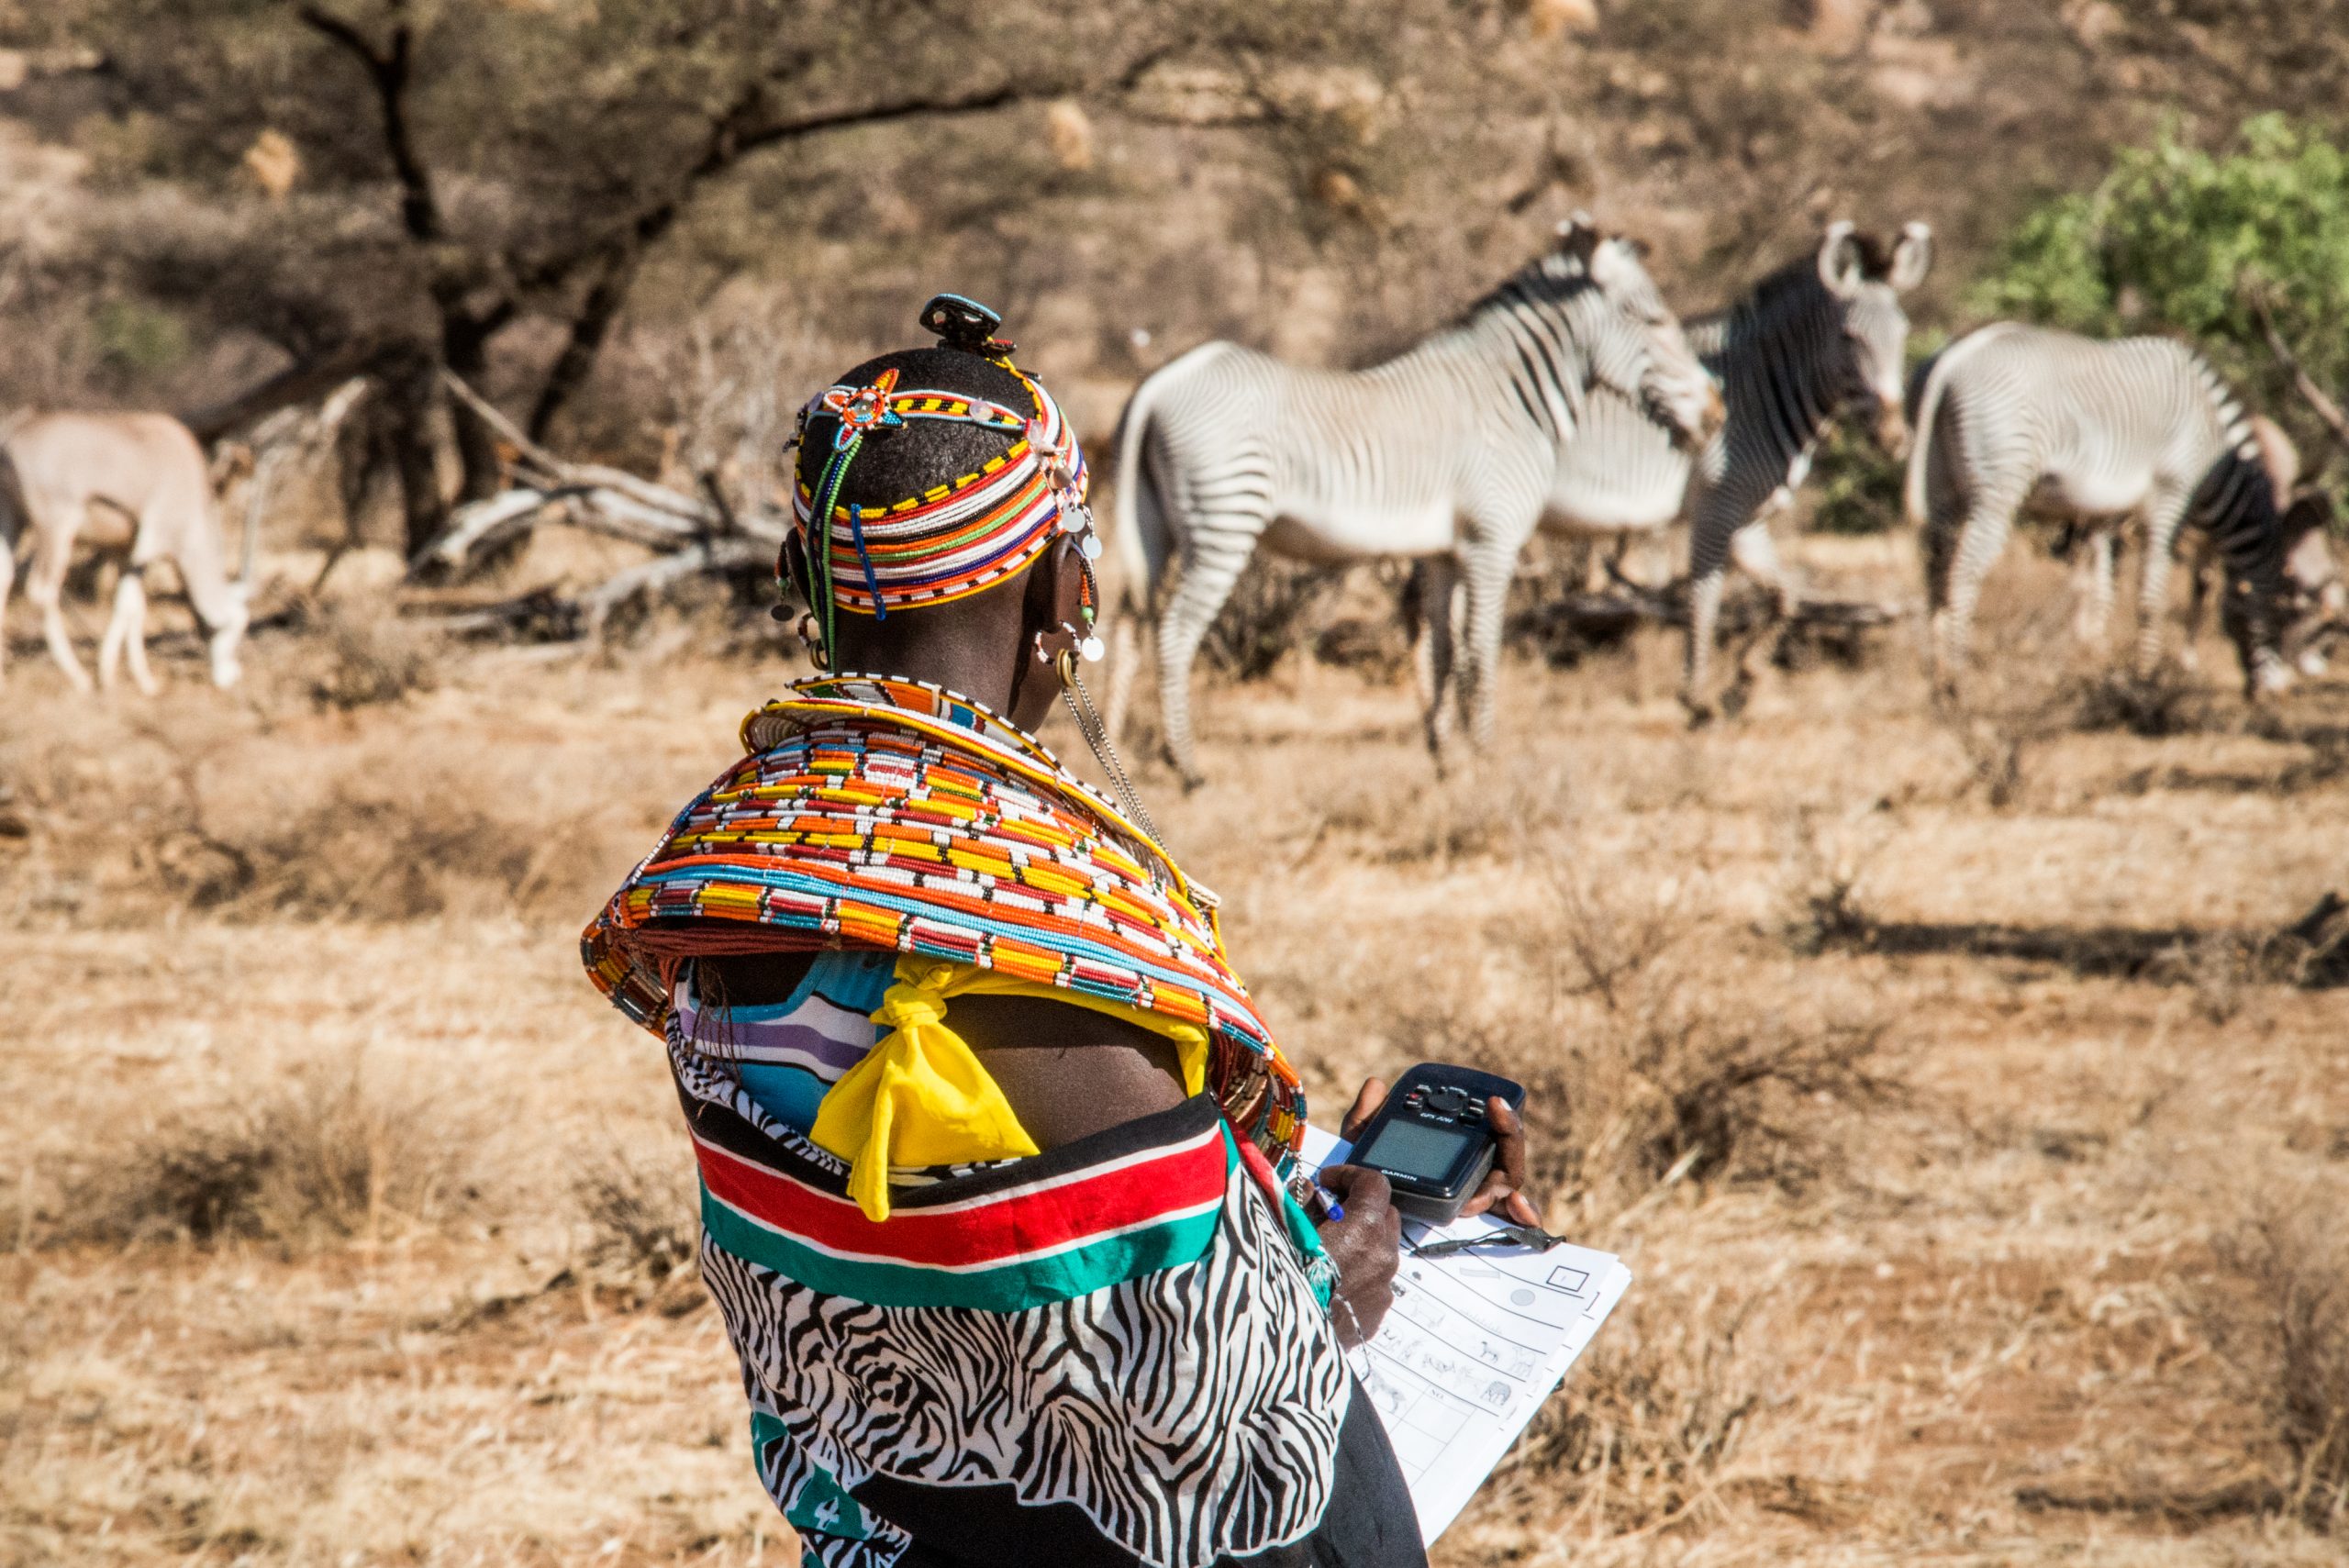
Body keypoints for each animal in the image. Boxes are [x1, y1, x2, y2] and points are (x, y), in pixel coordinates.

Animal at [1106, 216, 1723, 784]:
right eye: (1654, 321)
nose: (1718, 415)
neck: (1508, 400)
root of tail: (1158, 383)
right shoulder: (1494, 541)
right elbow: (1483, 648)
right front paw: (1486, 759)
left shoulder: (1445, 551)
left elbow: (1444, 650)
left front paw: (1445, 757)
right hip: (1224, 522)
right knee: (1174, 632)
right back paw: (1186, 766)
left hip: (1156, 527)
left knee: (1125, 627)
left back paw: (1112, 755)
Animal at [1904, 323, 2296, 696]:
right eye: (2282, 616)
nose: (2278, 692)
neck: (2216, 461)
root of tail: (1953, 358)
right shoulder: (2170, 495)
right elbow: (2150, 592)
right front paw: (2147, 677)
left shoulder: (2108, 514)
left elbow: (2104, 583)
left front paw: (2098, 656)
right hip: (1999, 485)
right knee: (1963, 571)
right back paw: (1959, 679)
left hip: (1943, 485)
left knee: (1934, 571)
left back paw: (1937, 680)